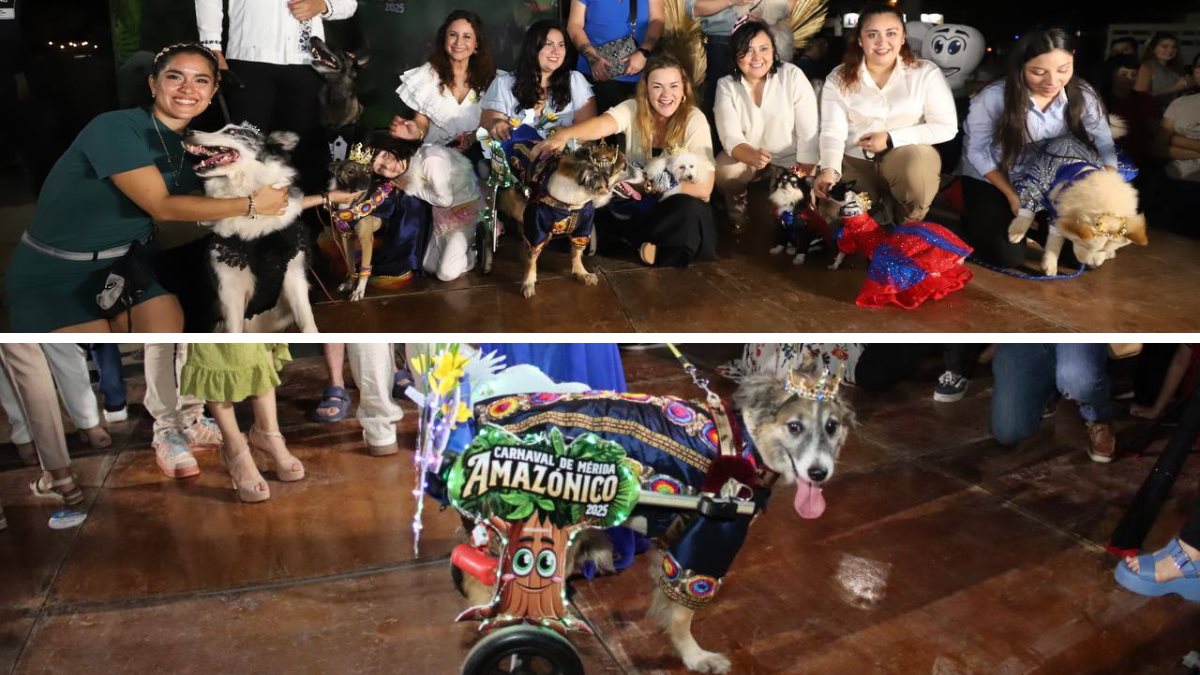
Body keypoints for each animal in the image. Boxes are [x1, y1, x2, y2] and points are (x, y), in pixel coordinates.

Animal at [453, 348, 859, 667]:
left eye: (832, 427)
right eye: (794, 427)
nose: (819, 472)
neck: (746, 441)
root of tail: (483, 416)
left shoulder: (676, 535)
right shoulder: (707, 541)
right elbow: (683, 612)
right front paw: (694, 656)